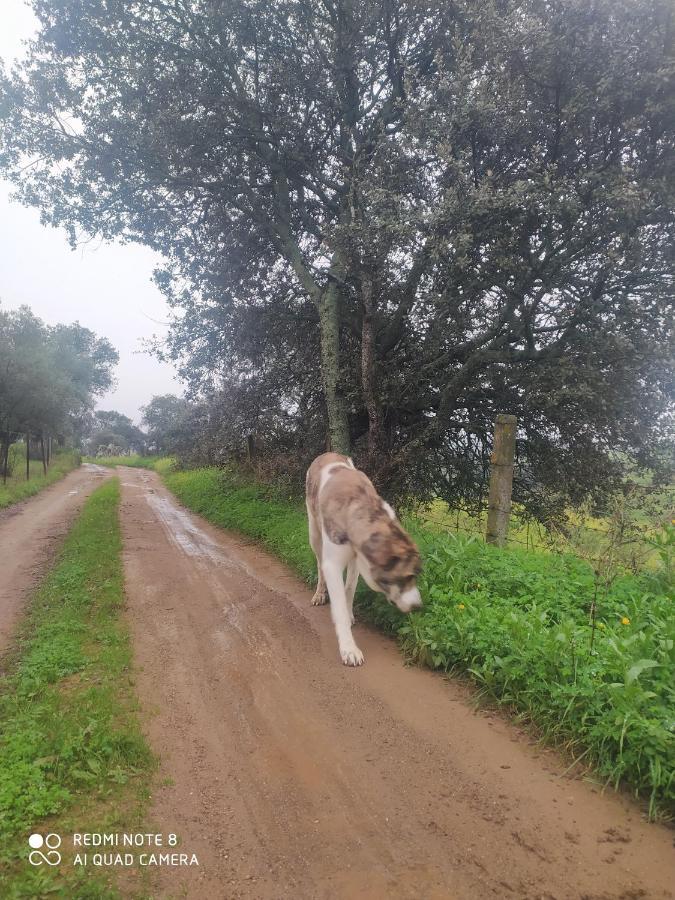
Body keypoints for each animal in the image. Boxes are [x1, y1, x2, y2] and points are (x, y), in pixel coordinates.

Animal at [306, 454, 422, 664]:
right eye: (407, 576)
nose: (418, 606)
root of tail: (328, 454)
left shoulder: (358, 561)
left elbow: (349, 589)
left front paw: (350, 613)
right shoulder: (332, 565)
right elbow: (339, 606)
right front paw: (349, 649)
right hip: (314, 534)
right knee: (319, 564)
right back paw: (319, 593)